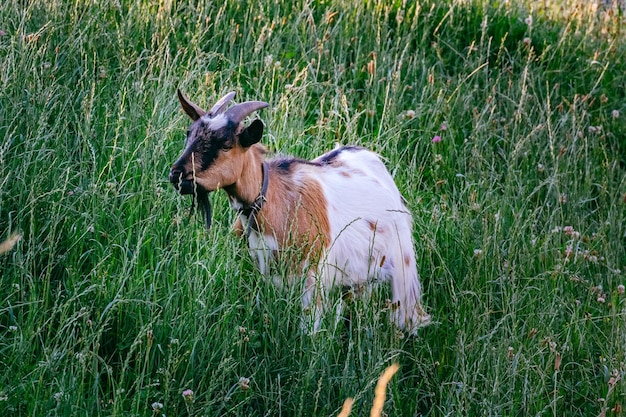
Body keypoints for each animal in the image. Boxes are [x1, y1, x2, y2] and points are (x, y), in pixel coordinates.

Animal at [171, 89, 432, 334]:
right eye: (189, 135)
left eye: (226, 145)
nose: (177, 174)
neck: (274, 203)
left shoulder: (313, 278)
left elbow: (310, 329)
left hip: (401, 263)